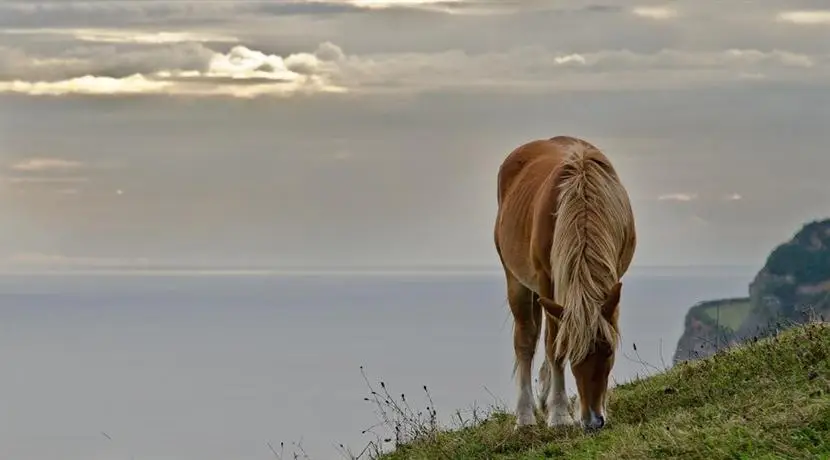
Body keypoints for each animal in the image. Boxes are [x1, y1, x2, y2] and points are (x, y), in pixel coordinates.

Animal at [494, 135, 636, 430]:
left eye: (609, 352)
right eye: (573, 355)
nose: (593, 421)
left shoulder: (614, 274)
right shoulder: (547, 279)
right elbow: (553, 345)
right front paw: (559, 414)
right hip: (517, 280)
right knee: (526, 340)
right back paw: (525, 416)